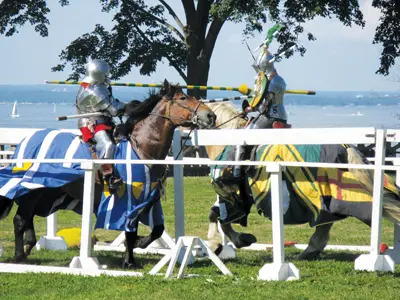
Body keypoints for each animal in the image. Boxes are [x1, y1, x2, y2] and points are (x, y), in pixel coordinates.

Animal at [0, 79, 216, 268]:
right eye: (182, 98)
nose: (210, 116)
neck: (141, 148)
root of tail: (26, 141)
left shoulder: (150, 200)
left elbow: (156, 229)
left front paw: (139, 245)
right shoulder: (129, 200)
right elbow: (130, 230)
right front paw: (129, 260)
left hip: (47, 191)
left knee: (27, 217)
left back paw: (28, 245)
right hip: (33, 188)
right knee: (20, 220)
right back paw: (19, 255)